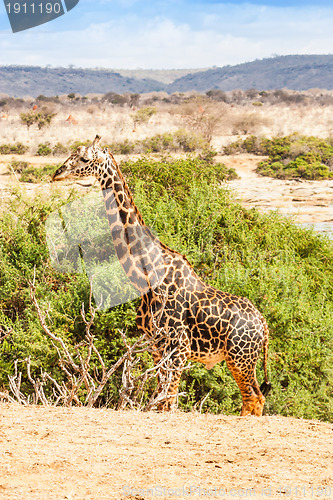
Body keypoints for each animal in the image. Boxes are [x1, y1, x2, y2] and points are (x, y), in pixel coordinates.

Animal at [52, 135, 270, 416]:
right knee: (253, 397)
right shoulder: (156, 345)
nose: (57, 173)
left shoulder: (178, 347)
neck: (147, 276)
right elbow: (162, 401)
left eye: (85, 158)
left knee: (254, 397)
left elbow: (169, 402)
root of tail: (264, 325)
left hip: (241, 357)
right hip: (241, 358)